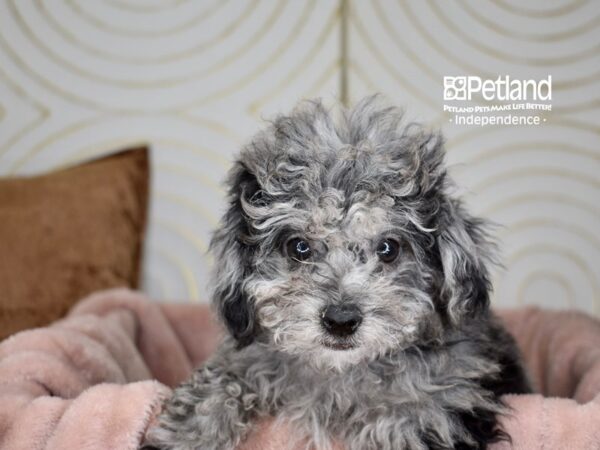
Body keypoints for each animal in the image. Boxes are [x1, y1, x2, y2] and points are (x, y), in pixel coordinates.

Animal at [145, 97, 528, 450]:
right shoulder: (243, 358)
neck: (341, 369)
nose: (341, 321)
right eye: (299, 247)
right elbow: (219, 384)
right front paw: (187, 435)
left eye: (388, 248)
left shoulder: (444, 413)